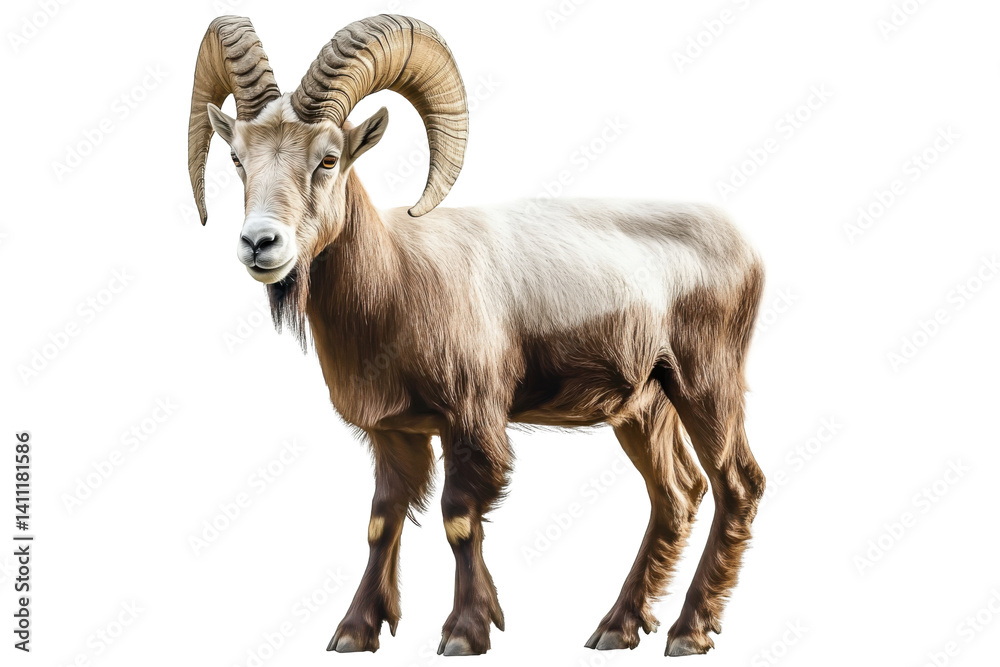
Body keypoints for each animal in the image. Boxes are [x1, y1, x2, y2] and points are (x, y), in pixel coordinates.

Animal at [187, 14, 766, 657]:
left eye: (329, 158)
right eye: (238, 158)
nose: (260, 243)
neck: (400, 282)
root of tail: (744, 246)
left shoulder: (473, 419)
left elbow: (459, 518)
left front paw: (465, 631)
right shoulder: (396, 435)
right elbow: (382, 520)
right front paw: (356, 631)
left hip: (706, 384)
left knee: (738, 485)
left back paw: (689, 632)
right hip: (644, 407)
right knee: (676, 494)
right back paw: (617, 627)